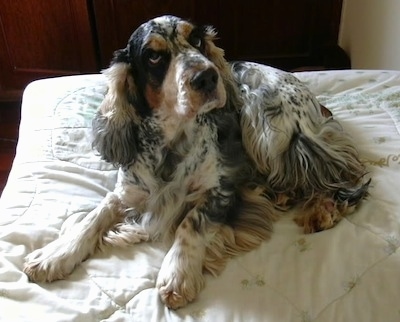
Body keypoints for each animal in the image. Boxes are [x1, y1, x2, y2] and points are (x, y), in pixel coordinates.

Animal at [23, 15, 370, 310]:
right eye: (153, 56)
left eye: (198, 40)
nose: (207, 76)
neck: (170, 143)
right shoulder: (126, 192)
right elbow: (92, 218)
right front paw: (55, 255)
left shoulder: (221, 188)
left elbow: (190, 223)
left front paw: (177, 275)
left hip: (262, 123)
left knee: (338, 170)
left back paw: (322, 208)